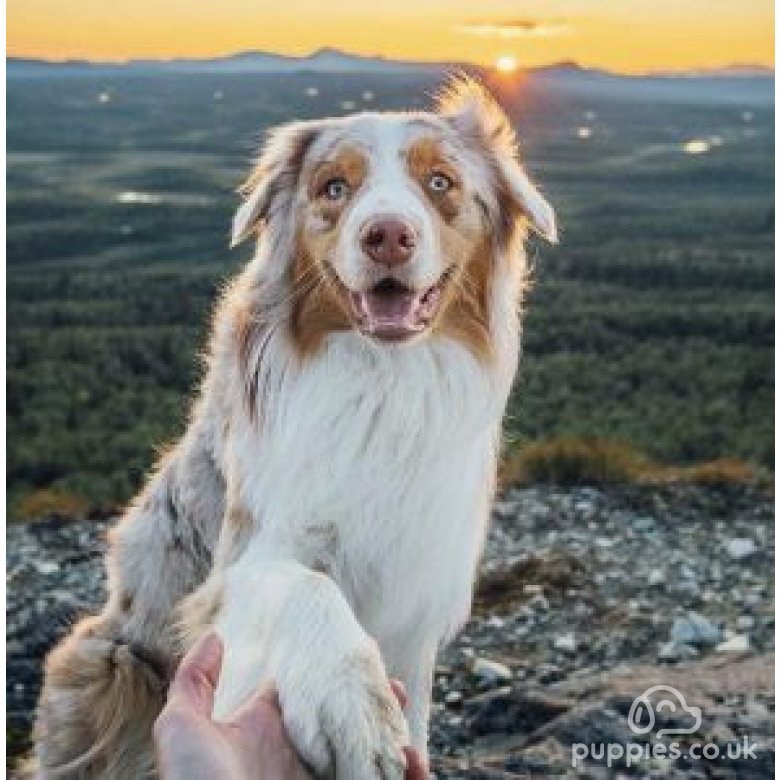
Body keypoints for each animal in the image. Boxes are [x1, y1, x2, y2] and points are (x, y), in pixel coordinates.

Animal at [32, 74, 556, 780]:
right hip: (107, 661)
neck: (383, 380)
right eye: (334, 188)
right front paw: (353, 705)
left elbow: (416, 717)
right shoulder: (244, 561)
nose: (388, 235)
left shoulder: (417, 603)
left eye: (440, 182)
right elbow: (307, 586)